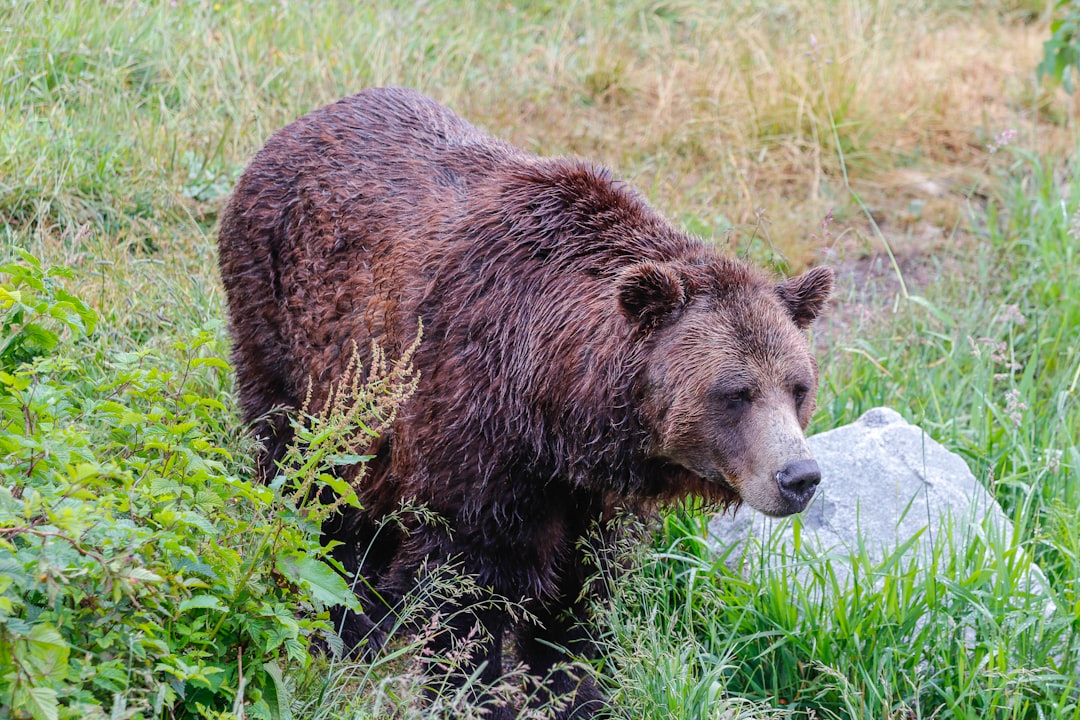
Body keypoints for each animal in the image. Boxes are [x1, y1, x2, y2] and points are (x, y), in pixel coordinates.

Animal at [217, 87, 833, 719]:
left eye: (798, 386)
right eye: (735, 393)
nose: (799, 476)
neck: (557, 409)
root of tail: (297, 126)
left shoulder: (589, 497)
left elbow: (581, 596)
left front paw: (579, 691)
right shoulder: (473, 429)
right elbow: (464, 587)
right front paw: (473, 692)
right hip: (293, 336)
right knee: (305, 475)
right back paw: (347, 622)